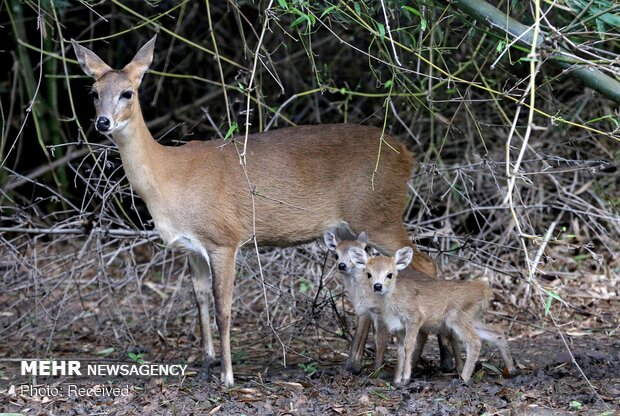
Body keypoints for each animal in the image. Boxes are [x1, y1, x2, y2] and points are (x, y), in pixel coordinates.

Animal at [72, 34, 438, 386]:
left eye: (127, 93)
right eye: (93, 92)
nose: (102, 122)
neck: (169, 177)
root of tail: (408, 156)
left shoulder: (224, 238)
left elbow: (224, 308)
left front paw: (228, 377)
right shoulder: (191, 246)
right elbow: (200, 301)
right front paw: (206, 366)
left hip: (380, 214)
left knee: (426, 263)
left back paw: (421, 361)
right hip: (354, 227)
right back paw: (354, 364)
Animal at [348, 245, 512, 386]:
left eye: (390, 274)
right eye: (369, 274)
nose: (377, 286)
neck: (395, 300)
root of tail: (485, 290)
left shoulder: (415, 317)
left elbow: (409, 345)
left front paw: (406, 378)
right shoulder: (399, 327)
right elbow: (400, 351)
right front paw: (396, 379)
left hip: (457, 317)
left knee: (475, 342)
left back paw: (464, 379)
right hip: (472, 318)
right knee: (497, 331)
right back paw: (511, 369)